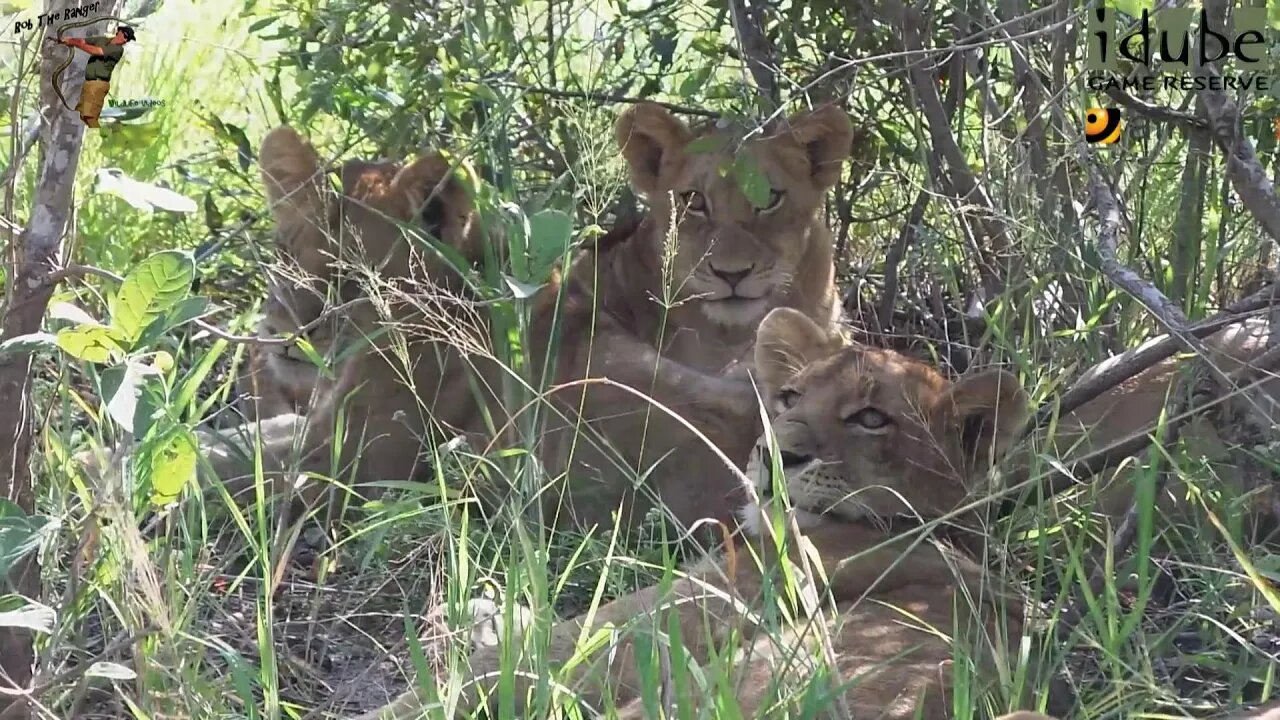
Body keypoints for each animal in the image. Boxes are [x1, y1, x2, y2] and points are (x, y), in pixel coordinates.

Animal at [353, 307, 1059, 717]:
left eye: (870, 418)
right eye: (790, 396)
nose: (777, 453)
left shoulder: (687, 610)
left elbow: (534, 657)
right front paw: (482, 613)